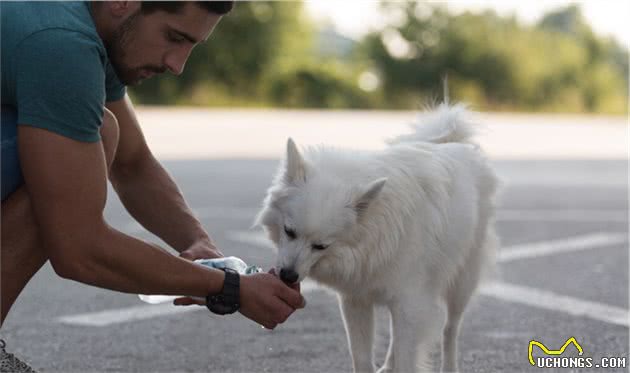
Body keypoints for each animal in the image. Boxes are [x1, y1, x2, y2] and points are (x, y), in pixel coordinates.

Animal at [256, 103, 498, 370]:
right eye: (289, 231)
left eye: (321, 246)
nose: (288, 276)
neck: (371, 235)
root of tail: (456, 143)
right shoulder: (356, 299)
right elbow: (362, 356)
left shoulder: (409, 303)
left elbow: (407, 359)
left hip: (461, 285)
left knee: (450, 330)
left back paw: (449, 366)